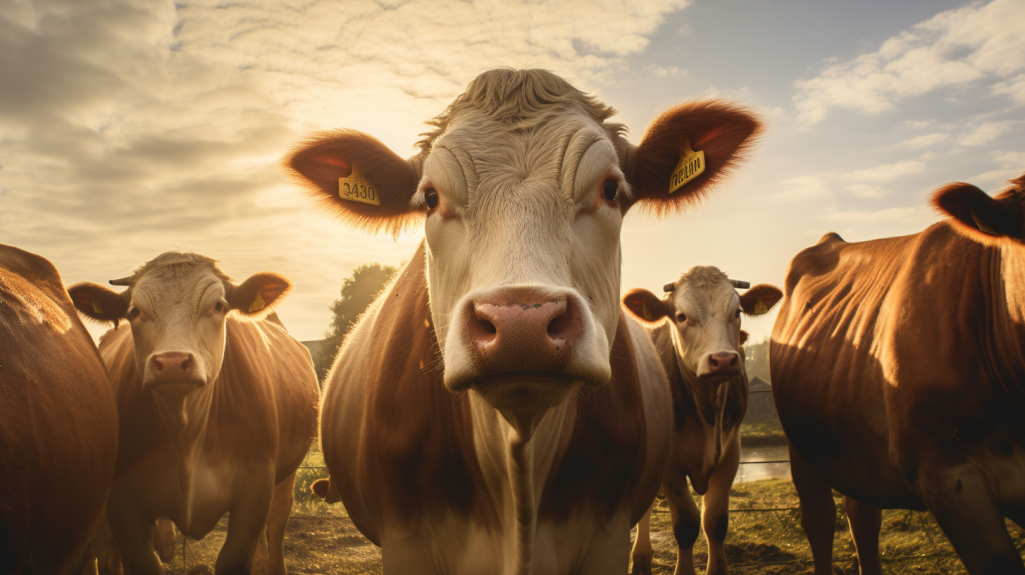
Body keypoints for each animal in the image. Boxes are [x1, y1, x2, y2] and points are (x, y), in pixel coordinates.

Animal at [67, 252, 319, 575]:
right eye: (134, 311)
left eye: (219, 306)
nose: (172, 362)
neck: (186, 434)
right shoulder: (122, 498)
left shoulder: (256, 486)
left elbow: (237, 556)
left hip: (286, 472)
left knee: (276, 521)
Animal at [621, 267, 782, 575]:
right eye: (682, 316)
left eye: (737, 312)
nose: (723, 360)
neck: (708, 412)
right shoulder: (669, 462)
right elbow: (686, 524)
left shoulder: (732, 451)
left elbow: (715, 521)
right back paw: (641, 559)